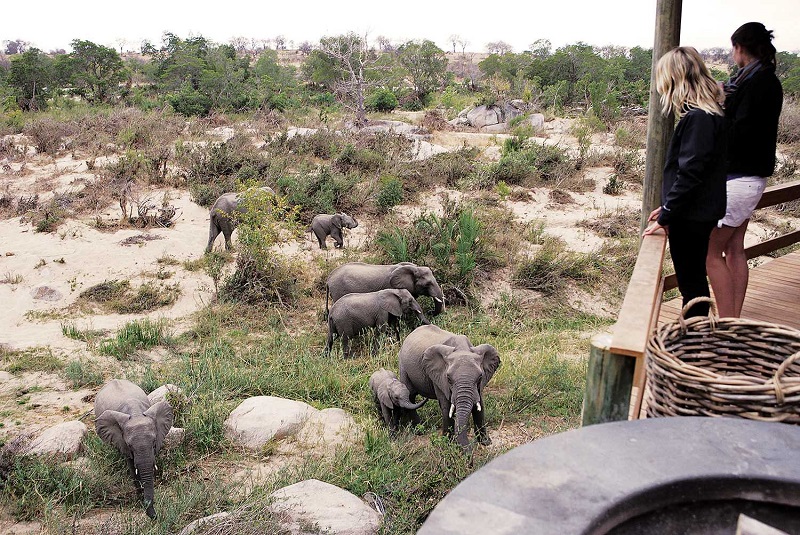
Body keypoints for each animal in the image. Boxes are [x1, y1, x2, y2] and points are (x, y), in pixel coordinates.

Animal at [94, 379, 174, 519]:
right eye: (129, 445)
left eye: (154, 442)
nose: (156, 516)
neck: (136, 413)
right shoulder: (122, 443)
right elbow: (132, 467)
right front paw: (140, 499)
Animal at [398, 325, 500, 453]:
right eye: (449, 379)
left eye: (480, 377)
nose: (469, 452)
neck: (462, 349)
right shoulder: (439, 378)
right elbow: (446, 406)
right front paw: (447, 444)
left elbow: (480, 405)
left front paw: (486, 443)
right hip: (403, 365)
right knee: (410, 396)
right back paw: (419, 430)